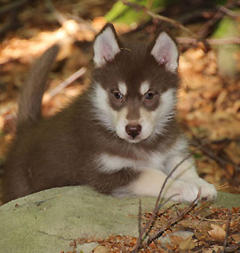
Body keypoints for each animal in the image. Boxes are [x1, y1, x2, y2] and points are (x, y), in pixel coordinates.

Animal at [1, 23, 217, 204]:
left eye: (149, 95)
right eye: (117, 94)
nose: (133, 130)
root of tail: (26, 129)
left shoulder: (172, 150)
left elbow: (184, 165)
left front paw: (202, 184)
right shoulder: (105, 172)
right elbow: (153, 175)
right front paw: (184, 187)